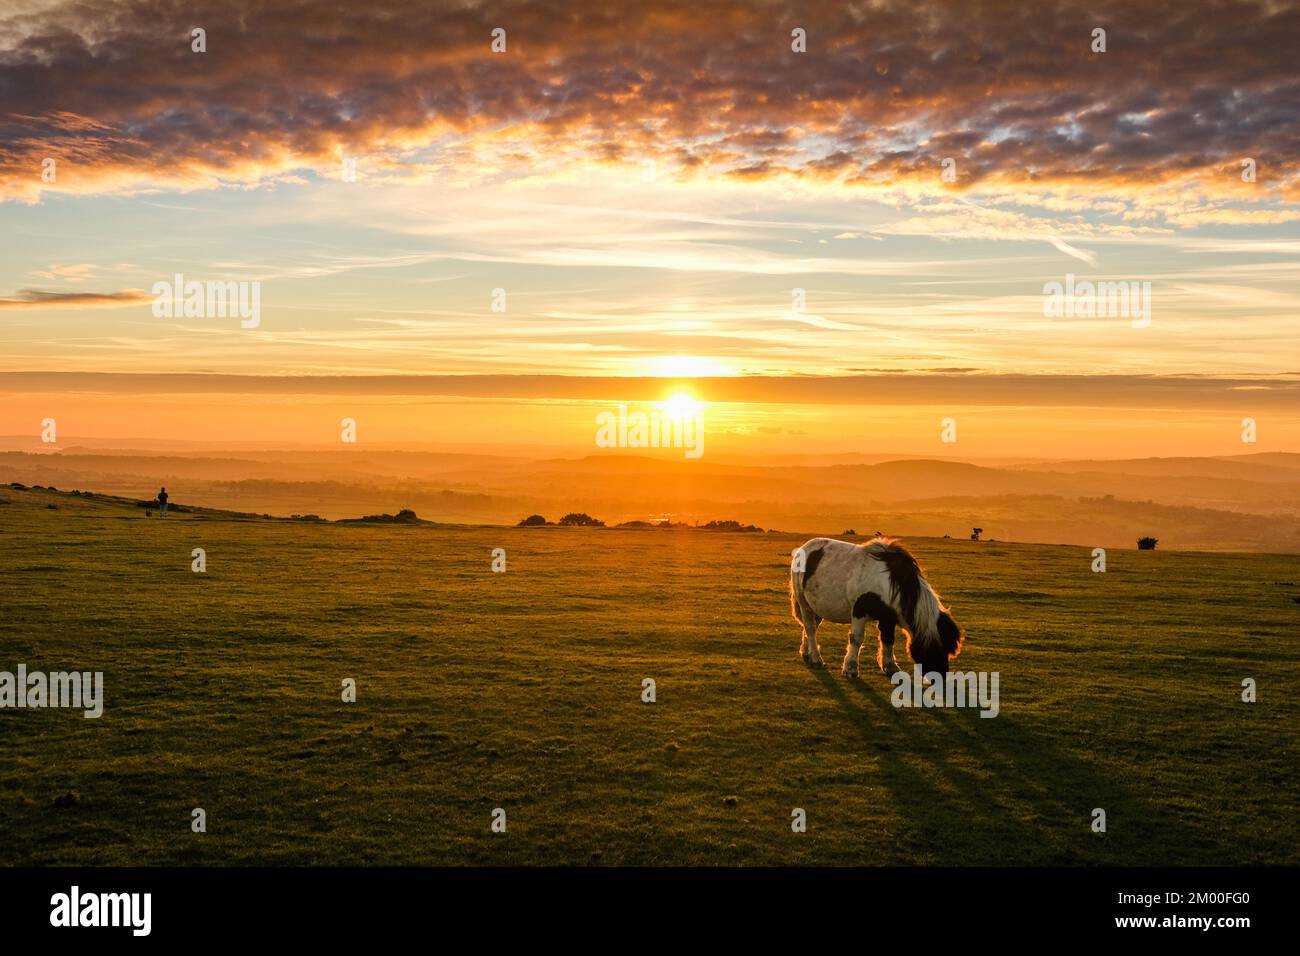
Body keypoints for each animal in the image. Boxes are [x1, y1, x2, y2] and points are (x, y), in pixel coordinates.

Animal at [785, 538, 961, 681]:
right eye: (935, 650)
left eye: (947, 650)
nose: (940, 677)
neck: (887, 581)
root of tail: (804, 547)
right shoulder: (859, 611)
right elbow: (857, 639)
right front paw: (850, 668)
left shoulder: (888, 616)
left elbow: (888, 639)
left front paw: (890, 667)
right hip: (803, 602)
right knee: (810, 627)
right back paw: (816, 658)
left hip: (815, 606)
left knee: (810, 627)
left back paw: (806, 653)